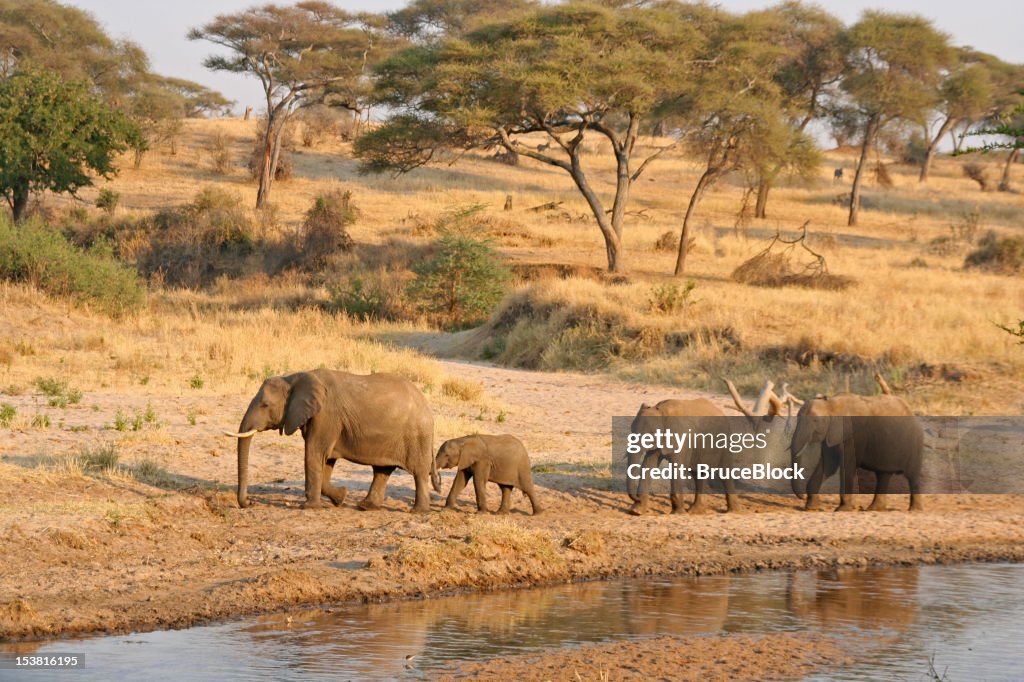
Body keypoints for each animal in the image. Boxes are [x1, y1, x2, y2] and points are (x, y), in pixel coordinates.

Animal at [225, 368, 440, 507]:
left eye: (265, 405)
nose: (250, 502)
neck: (293, 378)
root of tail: (426, 405)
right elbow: (326, 460)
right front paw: (340, 497)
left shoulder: (326, 416)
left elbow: (314, 454)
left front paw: (310, 507)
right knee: (382, 470)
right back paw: (365, 506)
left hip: (417, 435)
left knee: (419, 472)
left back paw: (418, 511)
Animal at [786, 393, 925, 509]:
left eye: (815, 420)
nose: (802, 496)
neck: (832, 404)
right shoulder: (832, 434)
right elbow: (829, 466)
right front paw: (811, 508)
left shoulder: (855, 435)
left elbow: (847, 466)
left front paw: (842, 509)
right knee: (883, 475)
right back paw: (874, 509)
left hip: (914, 443)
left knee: (912, 475)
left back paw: (914, 510)